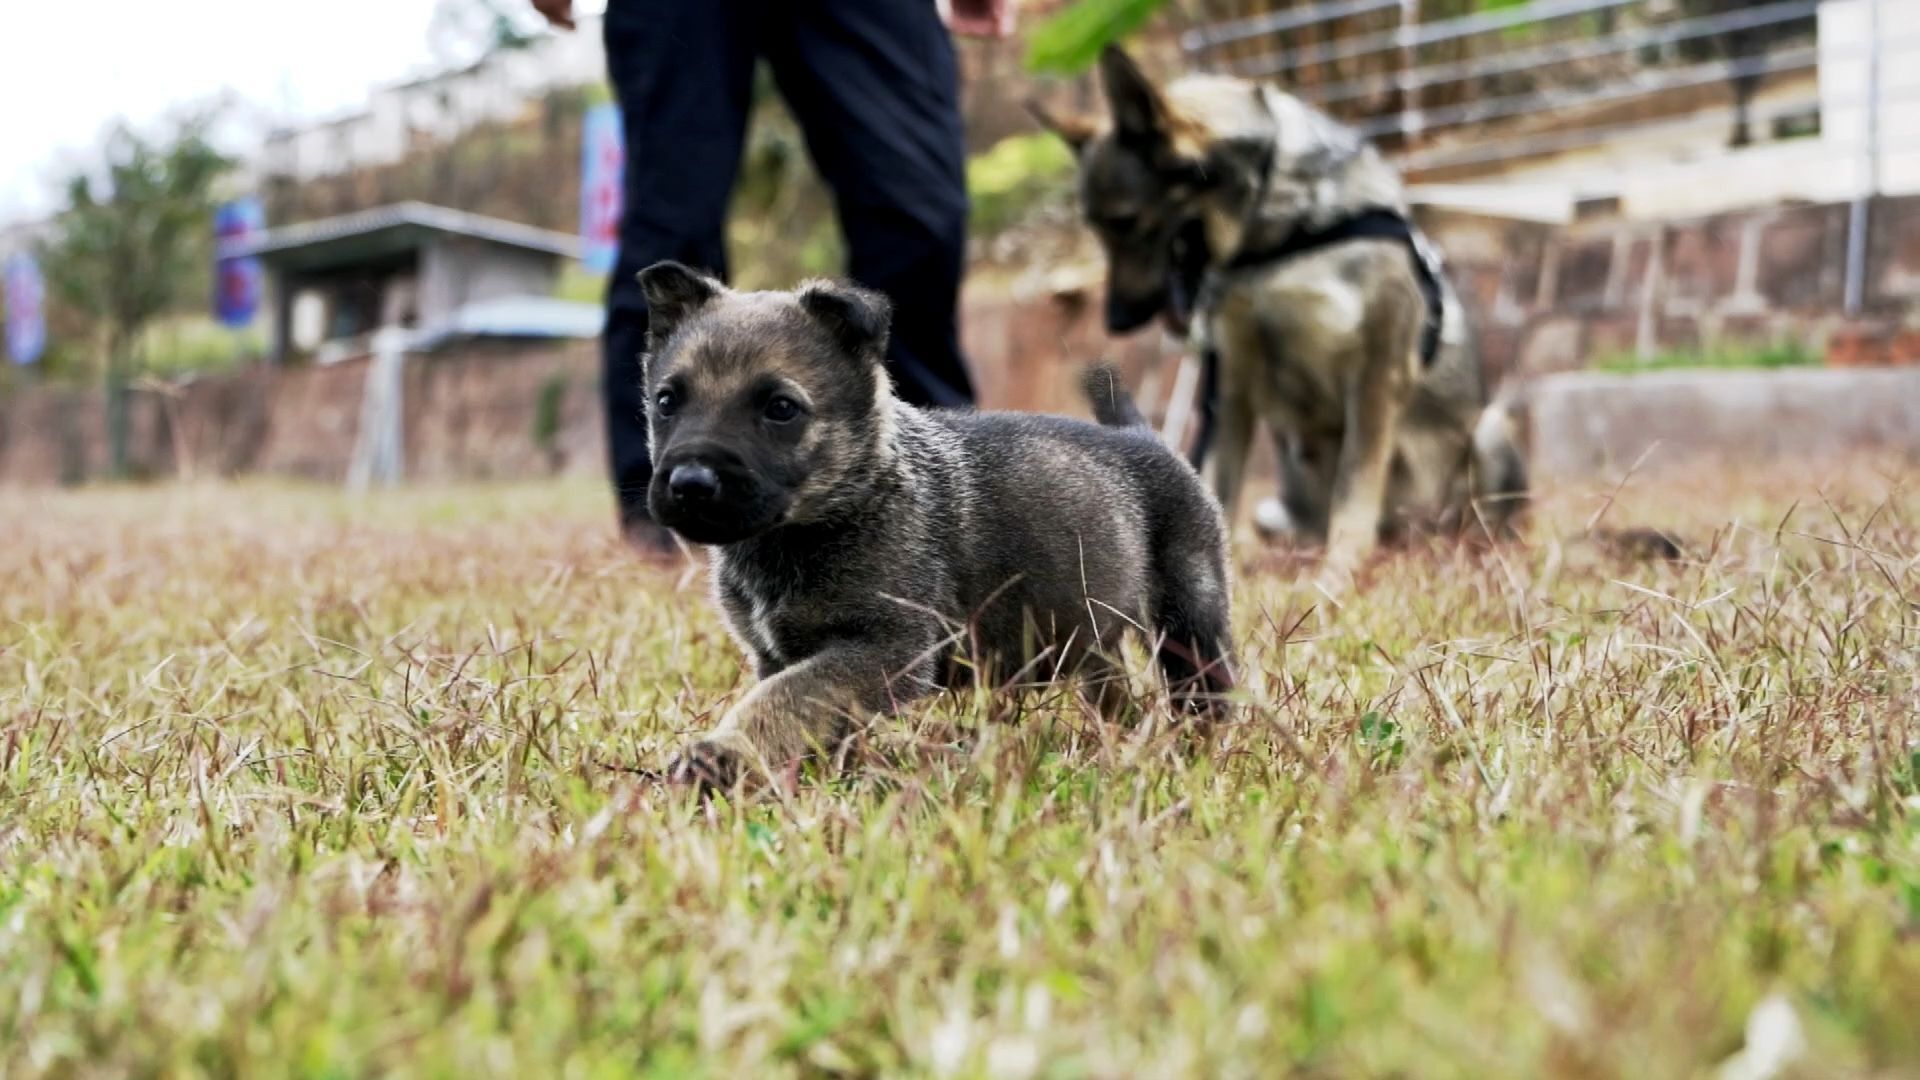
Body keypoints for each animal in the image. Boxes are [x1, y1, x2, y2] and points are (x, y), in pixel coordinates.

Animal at [629, 261, 1228, 780]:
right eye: (666, 401)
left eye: (780, 408)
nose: (690, 483)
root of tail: (1143, 437)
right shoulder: (778, 654)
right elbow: (802, 710)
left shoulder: (884, 647)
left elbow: (786, 700)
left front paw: (721, 753)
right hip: (1092, 634)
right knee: (1115, 692)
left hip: (1192, 616)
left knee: (1204, 687)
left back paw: (1204, 748)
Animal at [1044, 47, 1520, 584]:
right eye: (1096, 227)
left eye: (1123, 222)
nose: (1116, 321)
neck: (1278, 235)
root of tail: (1413, 532)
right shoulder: (1231, 385)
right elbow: (1216, 482)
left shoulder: (1376, 373)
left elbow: (1354, 489)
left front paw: (1337, 575)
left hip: (1491, 429)